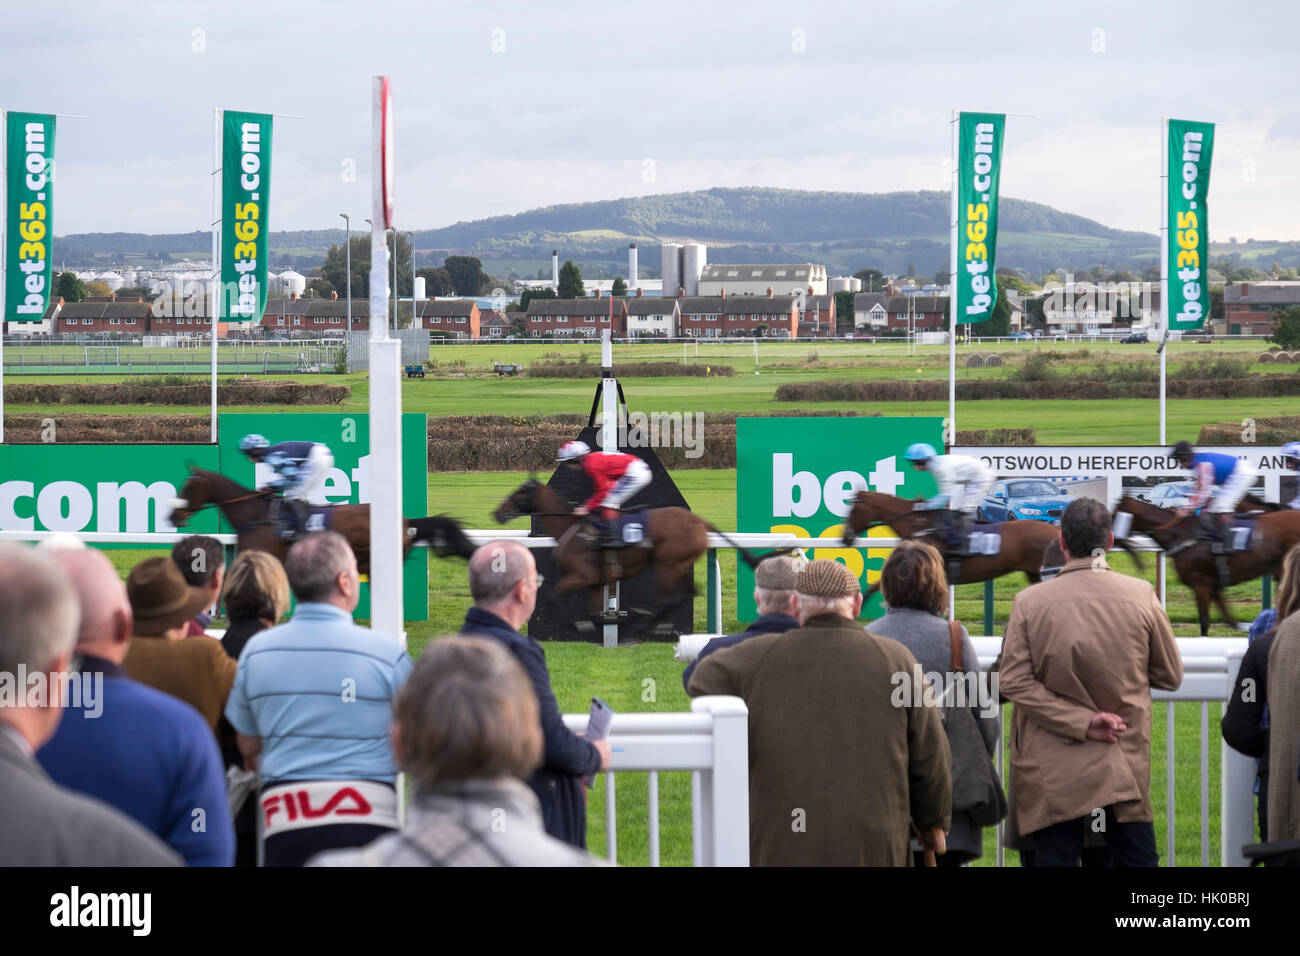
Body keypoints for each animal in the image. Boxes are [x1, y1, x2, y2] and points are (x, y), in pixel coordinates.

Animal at [491, 481, 785, 632]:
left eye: (519, 493)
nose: (497, 513)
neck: (571, 529)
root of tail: (699, 522)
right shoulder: (596, 582)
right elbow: (592, 608)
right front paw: (601, 620)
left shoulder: (580, 576)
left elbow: (554, 597)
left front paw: (580, 624)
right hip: (680, 565)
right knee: (691, 591)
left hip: (667, 564)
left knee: (669, 597)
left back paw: (648, 622)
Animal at [1112, 494, 1300, 634]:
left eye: (1113, 515)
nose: (1111, 538)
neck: (1181, 535)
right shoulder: (1215, 587)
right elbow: (1230, 621)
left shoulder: (1201, 584)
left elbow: (1204, 622)